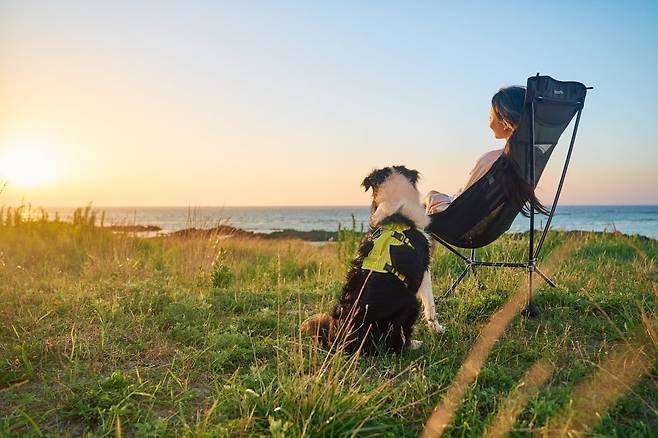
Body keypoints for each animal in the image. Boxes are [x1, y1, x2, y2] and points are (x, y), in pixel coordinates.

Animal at [302, 166, 440, 354]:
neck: (396, 211)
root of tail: (341, 342)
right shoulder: (424, 270)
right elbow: (431, 306)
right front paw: (438, 329)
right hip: (411, 303)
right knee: (395, 343)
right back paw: (413, 344)